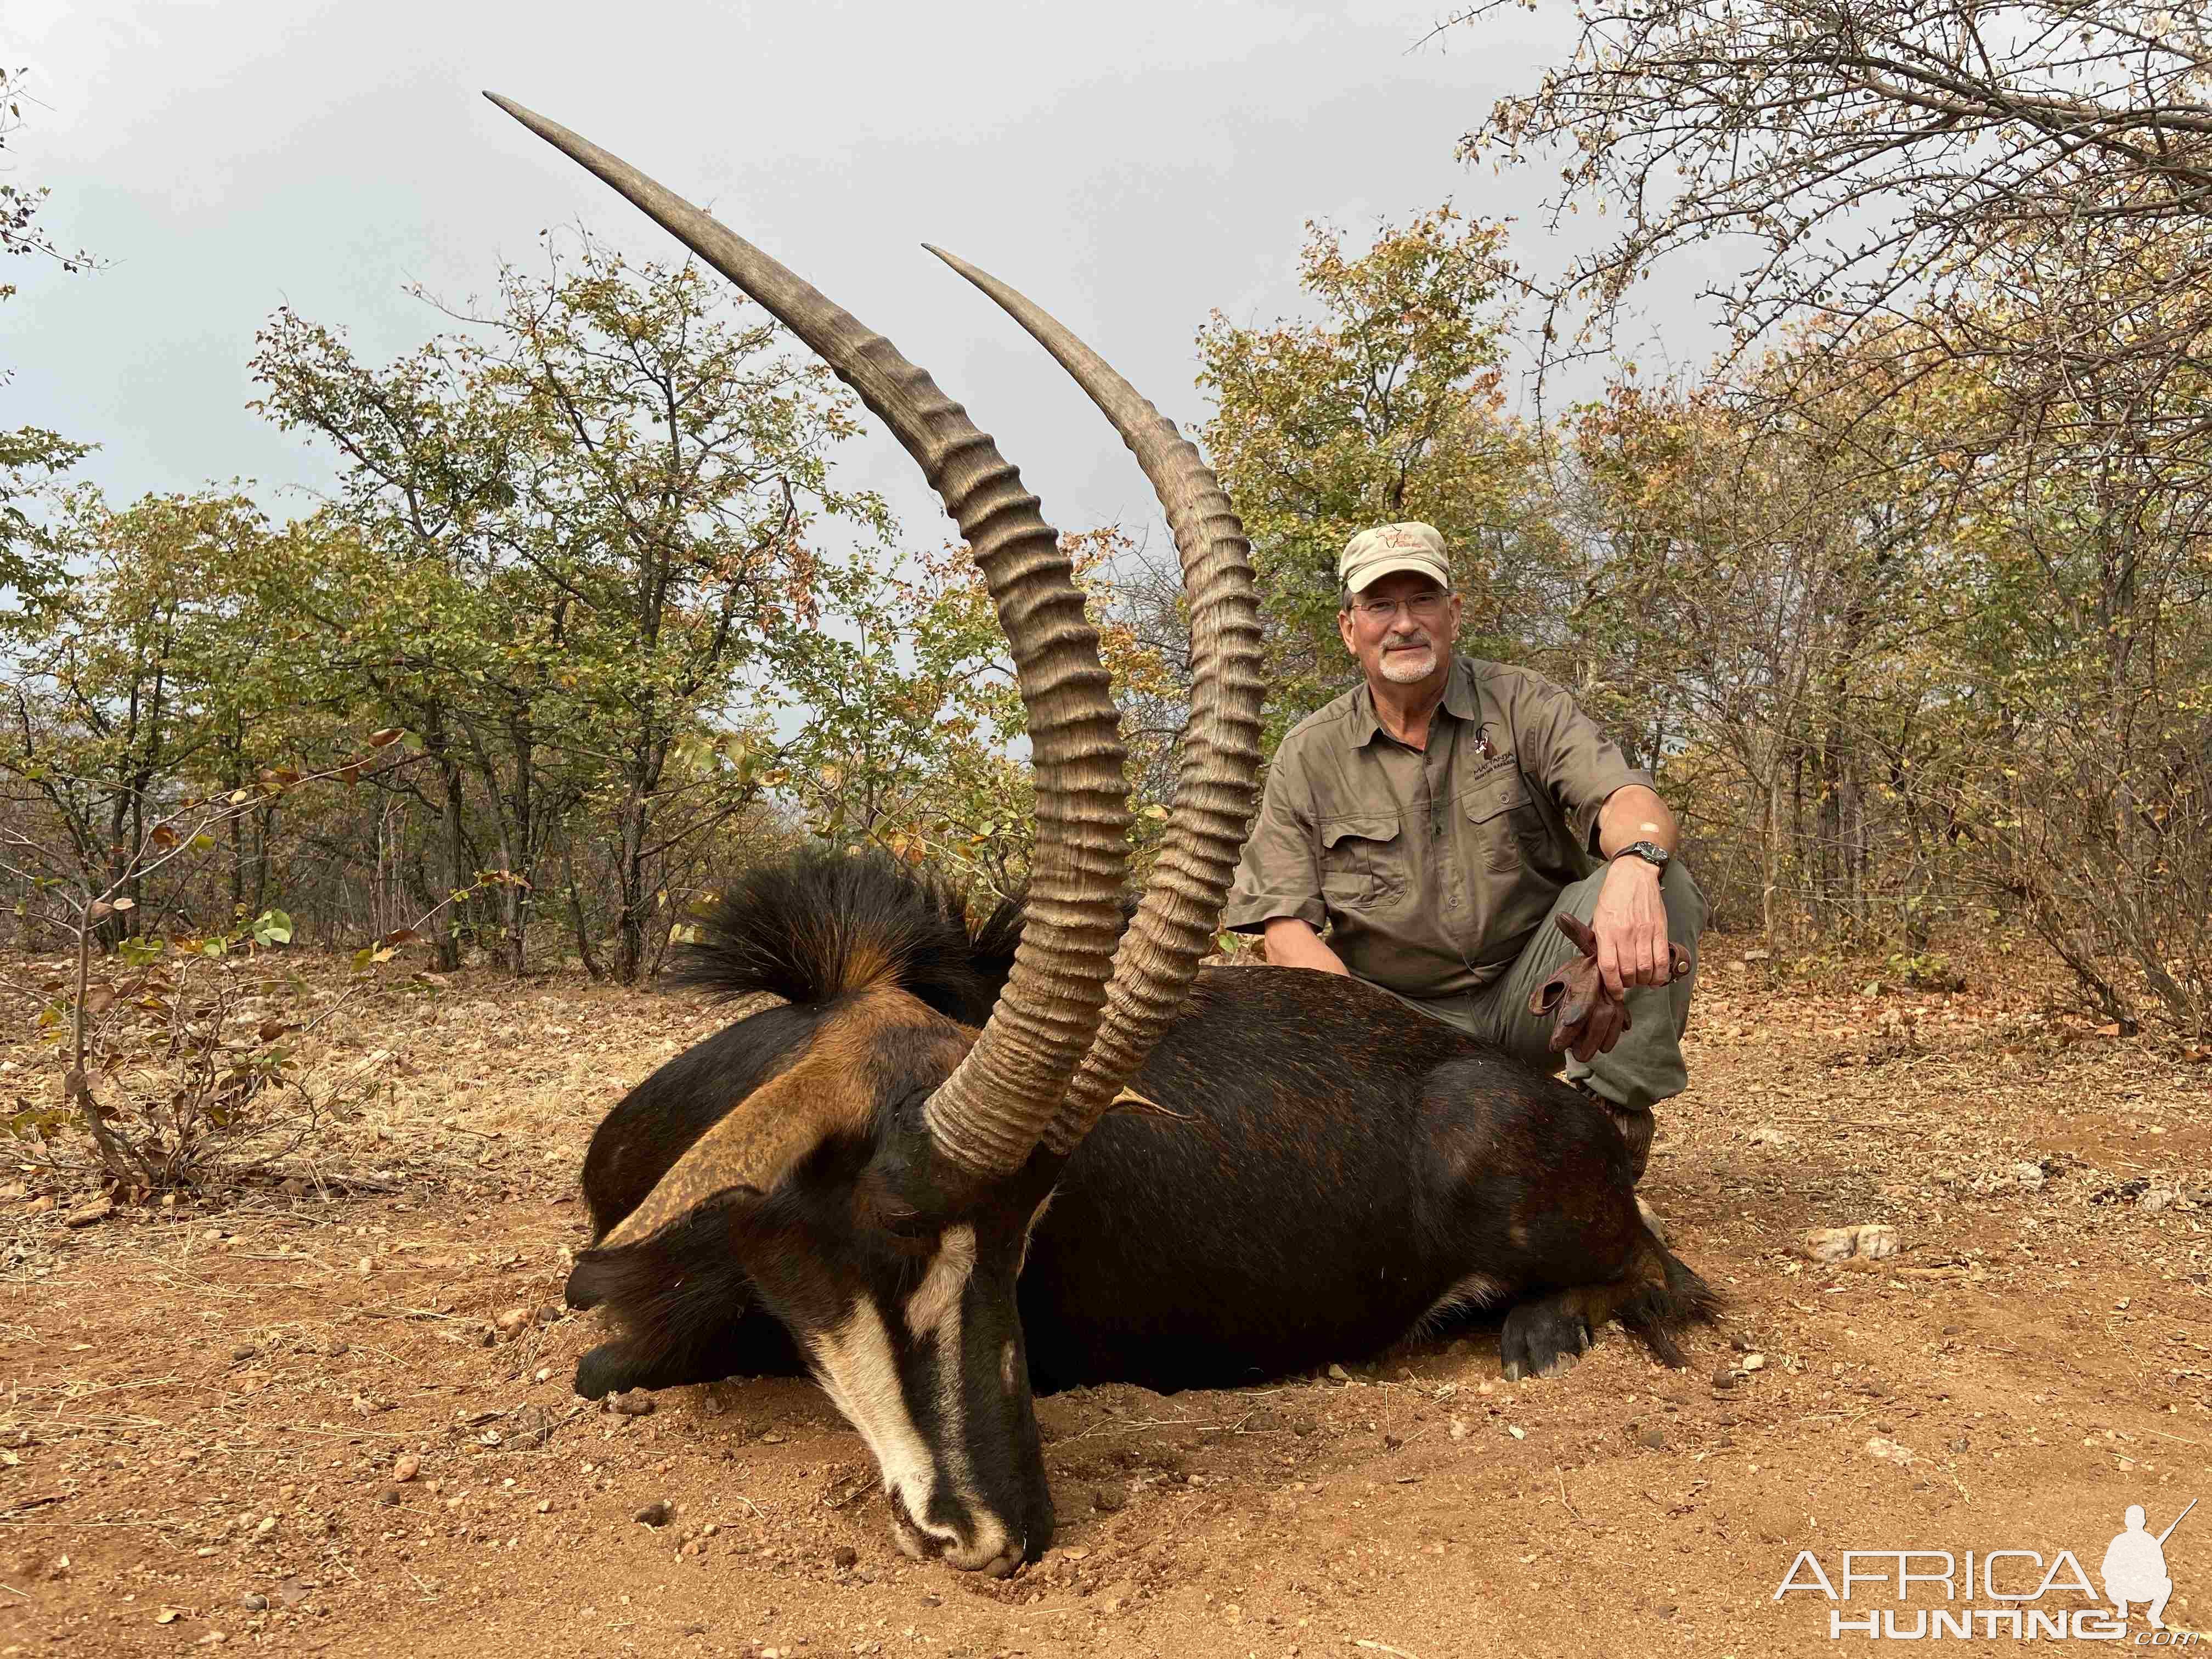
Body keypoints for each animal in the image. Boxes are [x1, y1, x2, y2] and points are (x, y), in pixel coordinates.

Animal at [489, 94, 1707, 1583]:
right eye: (891, 1240)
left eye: (1025, 1238)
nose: (1000, 1532)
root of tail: (1526, 1087)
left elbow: (615, 1359)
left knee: (1663, 1276)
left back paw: (1537, 1325)